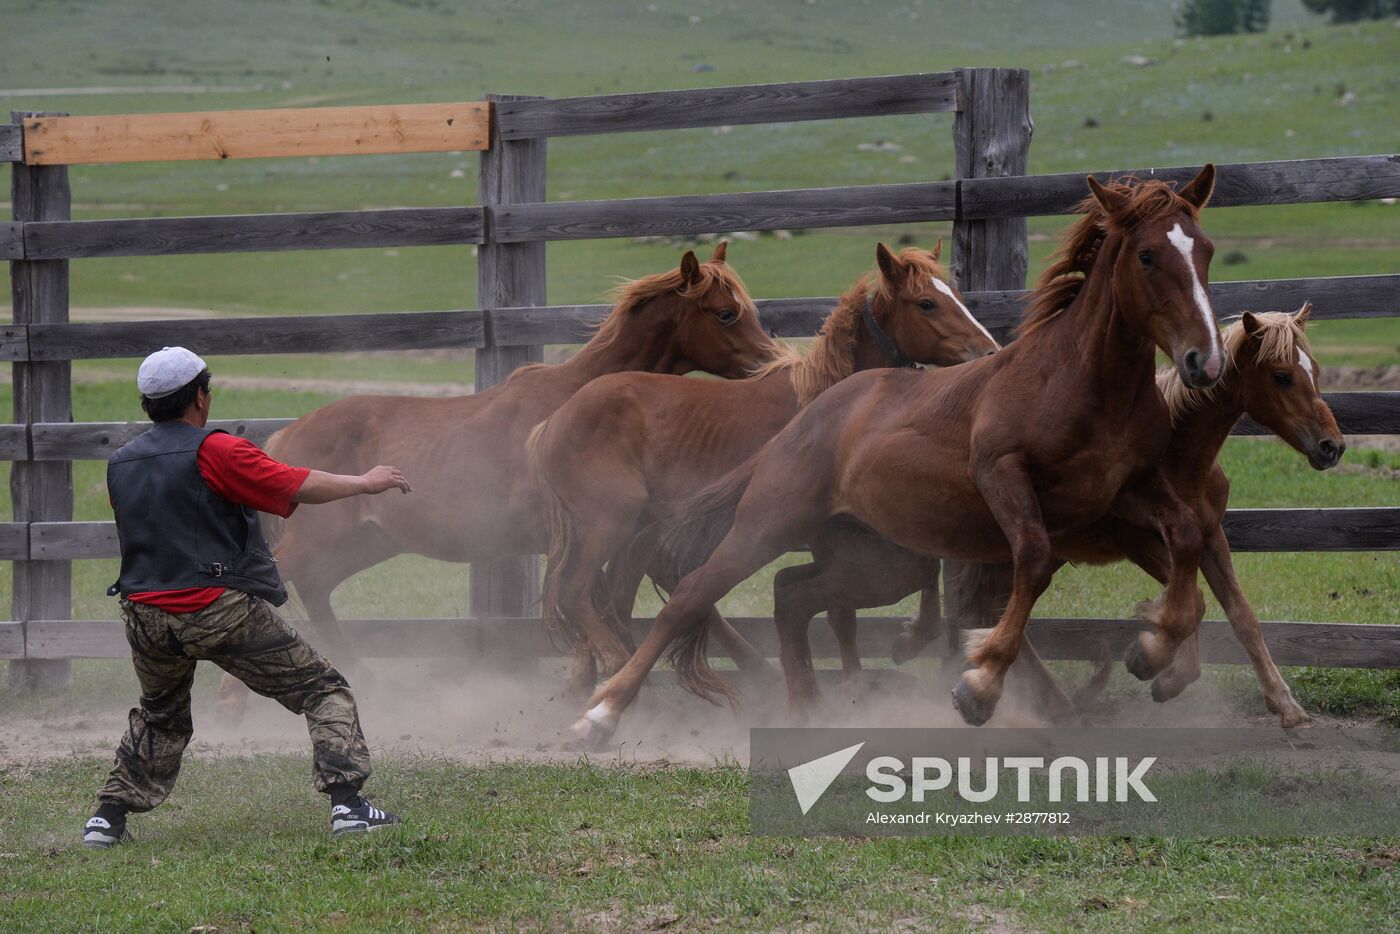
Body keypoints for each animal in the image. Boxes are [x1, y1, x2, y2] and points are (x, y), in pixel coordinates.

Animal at [222, 243, 784, 716]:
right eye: (726, 312)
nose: (774, 366)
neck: (576, 405)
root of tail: (288, 437)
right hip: (325, 541)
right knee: (276, 583)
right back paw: (234, 698)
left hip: (365, 544)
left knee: (316, 591)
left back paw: (368, 682)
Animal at [529, 245, 1002, 697]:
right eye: (926, 303)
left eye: (957, 297)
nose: (990, 352)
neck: (831, 402)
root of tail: (552, 423)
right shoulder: (828, 534)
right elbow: (850, 606)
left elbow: (866, 600)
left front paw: (877, 664)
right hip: (612, 523)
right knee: (578, 592)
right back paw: (615, 672)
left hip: (637, 536)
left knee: (615, 602)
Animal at [772, 306, 1338, 728]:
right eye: (1282, 375)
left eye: (1315, 370)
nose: (1331, 447)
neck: (1179, 455)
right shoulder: (1141, 541)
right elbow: (1192, 602)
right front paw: (1154, 664)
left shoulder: (1209, 534)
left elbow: (1238, 614)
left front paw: (1286, 707)